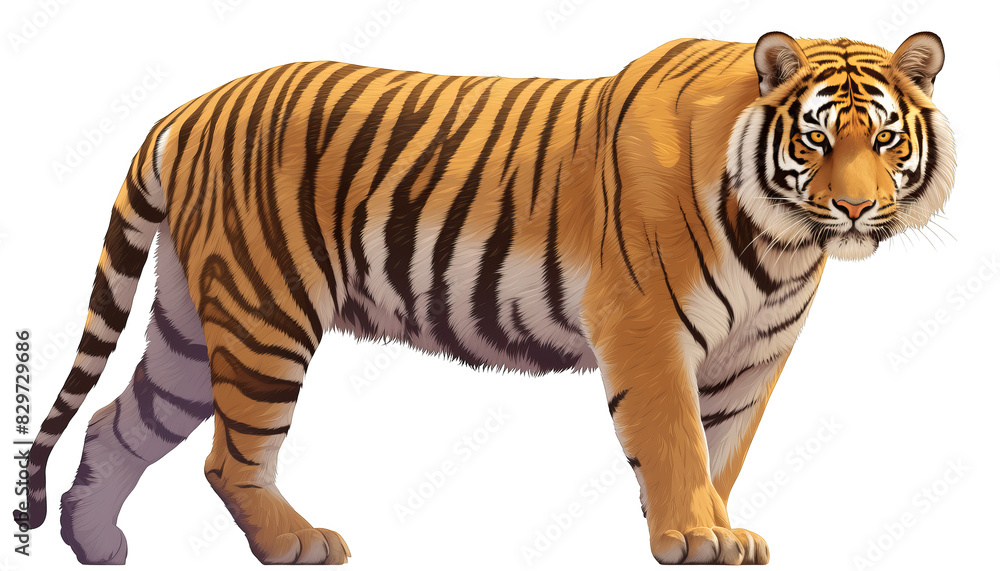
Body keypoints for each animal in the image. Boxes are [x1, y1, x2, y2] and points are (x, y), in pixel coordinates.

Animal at [15, 31, 955, 565]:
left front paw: (715, 527)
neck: (781, 242)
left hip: (190, 321)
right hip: (263, 313)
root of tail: (192, 105)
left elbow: (721, 446)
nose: (857, 208)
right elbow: (678, 441)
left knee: (121, 420)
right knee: (228, 455)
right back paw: (297, 541)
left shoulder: (751, 356)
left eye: (884, 139)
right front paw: (694, 536)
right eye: (818, 138)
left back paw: (94, 542)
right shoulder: (647, 327)